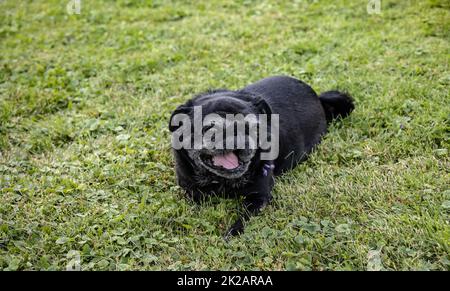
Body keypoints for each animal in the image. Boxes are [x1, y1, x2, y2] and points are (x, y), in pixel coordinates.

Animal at [167, 76, 354, 240]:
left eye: (250, 126)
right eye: (210, 129)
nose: (237, 138)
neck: (222, 182)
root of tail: (317, 96)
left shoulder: (258, 198)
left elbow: (243, 218)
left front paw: (233, 233)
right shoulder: (190, 192)